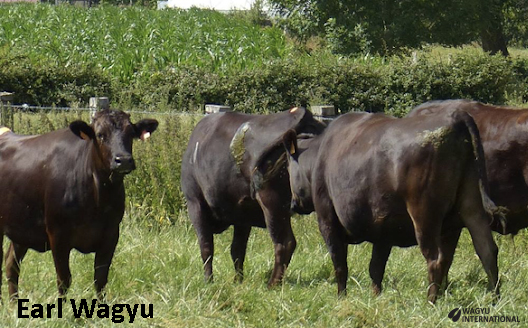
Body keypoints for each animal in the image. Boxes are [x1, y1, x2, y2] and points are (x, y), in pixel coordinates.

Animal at [0, 110, 159, 300]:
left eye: (131, 133)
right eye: (100, 134)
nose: (124, 159)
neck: (98, 199)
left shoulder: (111, 234)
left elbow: (100, 279)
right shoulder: (58, 235)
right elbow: (64, 280)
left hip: (22, 227)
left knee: (11, 264)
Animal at [182, 108, 326, 288]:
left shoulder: (195, 203)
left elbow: (206, 246)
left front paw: (208, 281)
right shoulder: (242, 217)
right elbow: (237, 249)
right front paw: (238, 281)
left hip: (273, 203)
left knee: (285, 242)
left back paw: (272, 284)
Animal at [260, 109, 504, 302]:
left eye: (288, 169)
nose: (293, 203)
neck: (320, 155)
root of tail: (457, 117)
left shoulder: (327, 219)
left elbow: (340, 264)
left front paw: (341, 297)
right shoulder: (384, 228)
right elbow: (376, 267)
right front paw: (375, 297)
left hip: (425, 215)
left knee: (436, 259)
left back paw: (431, 301)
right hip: (469, 209)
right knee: (486, 250)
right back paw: (494, 298)